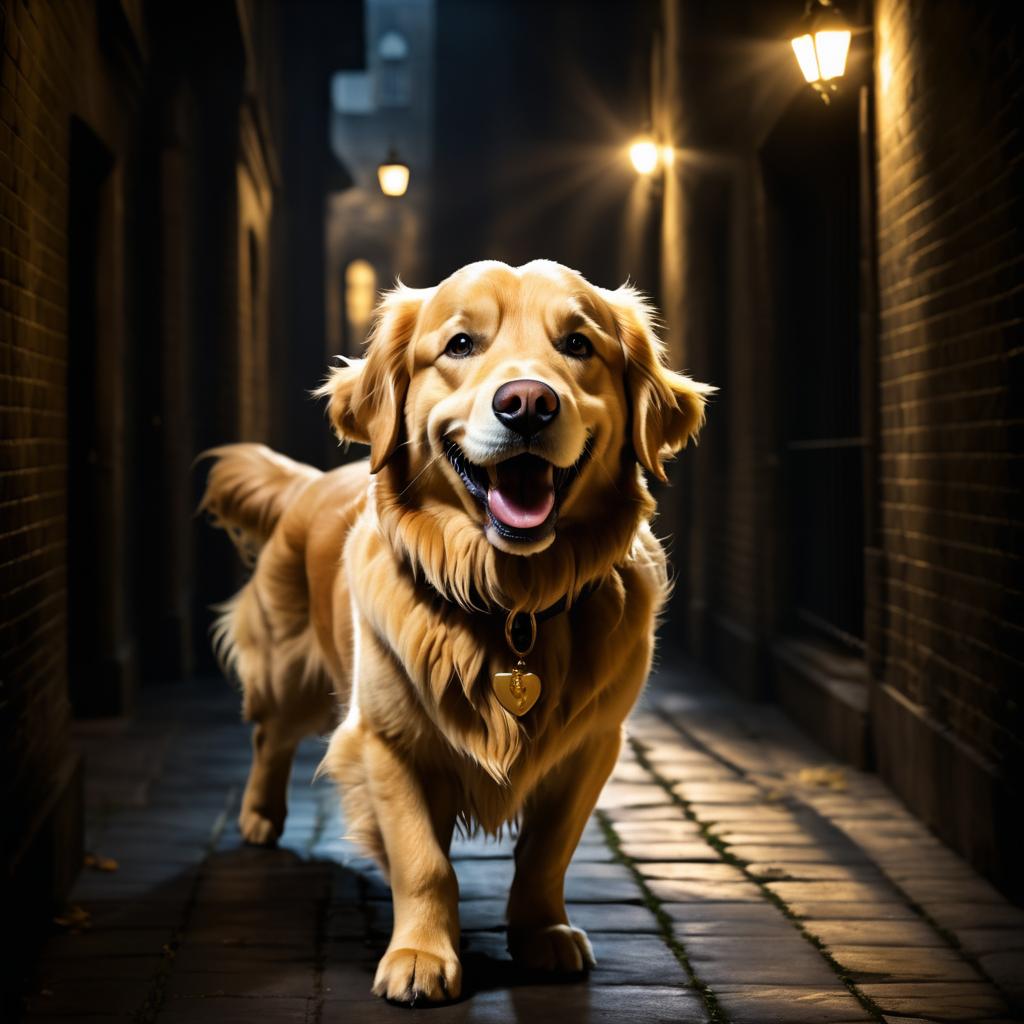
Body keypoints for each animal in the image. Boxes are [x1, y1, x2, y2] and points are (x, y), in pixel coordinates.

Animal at [199, 256, 712, 999]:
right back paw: (261, 817)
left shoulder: (592, 745)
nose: (527, 403)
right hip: (288, 674)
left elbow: (546, 852)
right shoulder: (387, 741)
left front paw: (542, 932)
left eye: (579, 345)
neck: (512, 601)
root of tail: (308, 482)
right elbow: (424, 862)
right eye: (460, 345)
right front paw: (420, 955)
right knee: (270, 735)